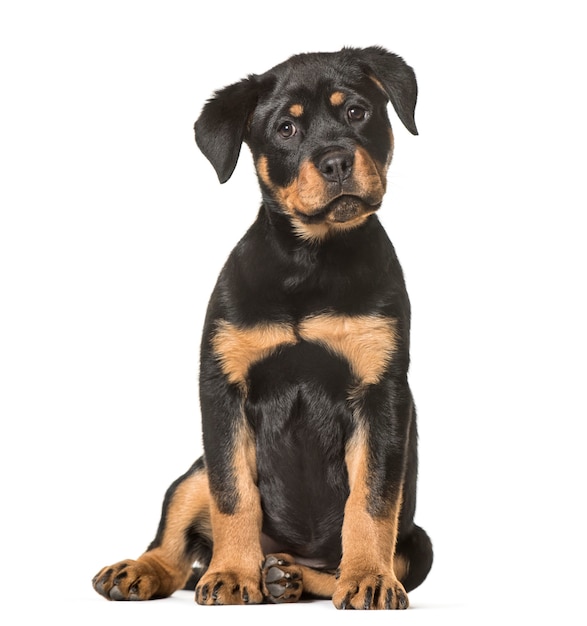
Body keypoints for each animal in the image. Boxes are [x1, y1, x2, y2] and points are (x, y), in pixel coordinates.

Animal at [90, 47, 432, 608]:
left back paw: (287, 576)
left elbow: (371, 501)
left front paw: (369, 578)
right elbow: (234, 496)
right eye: (286, 128)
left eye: (356, 112)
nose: (336, 161)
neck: (310, 260)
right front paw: (232, 574)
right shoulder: (223, 389)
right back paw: (146, 570)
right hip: (193, 474)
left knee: (331, 565)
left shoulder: (381, 395)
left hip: (419, 541)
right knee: (176, 546)